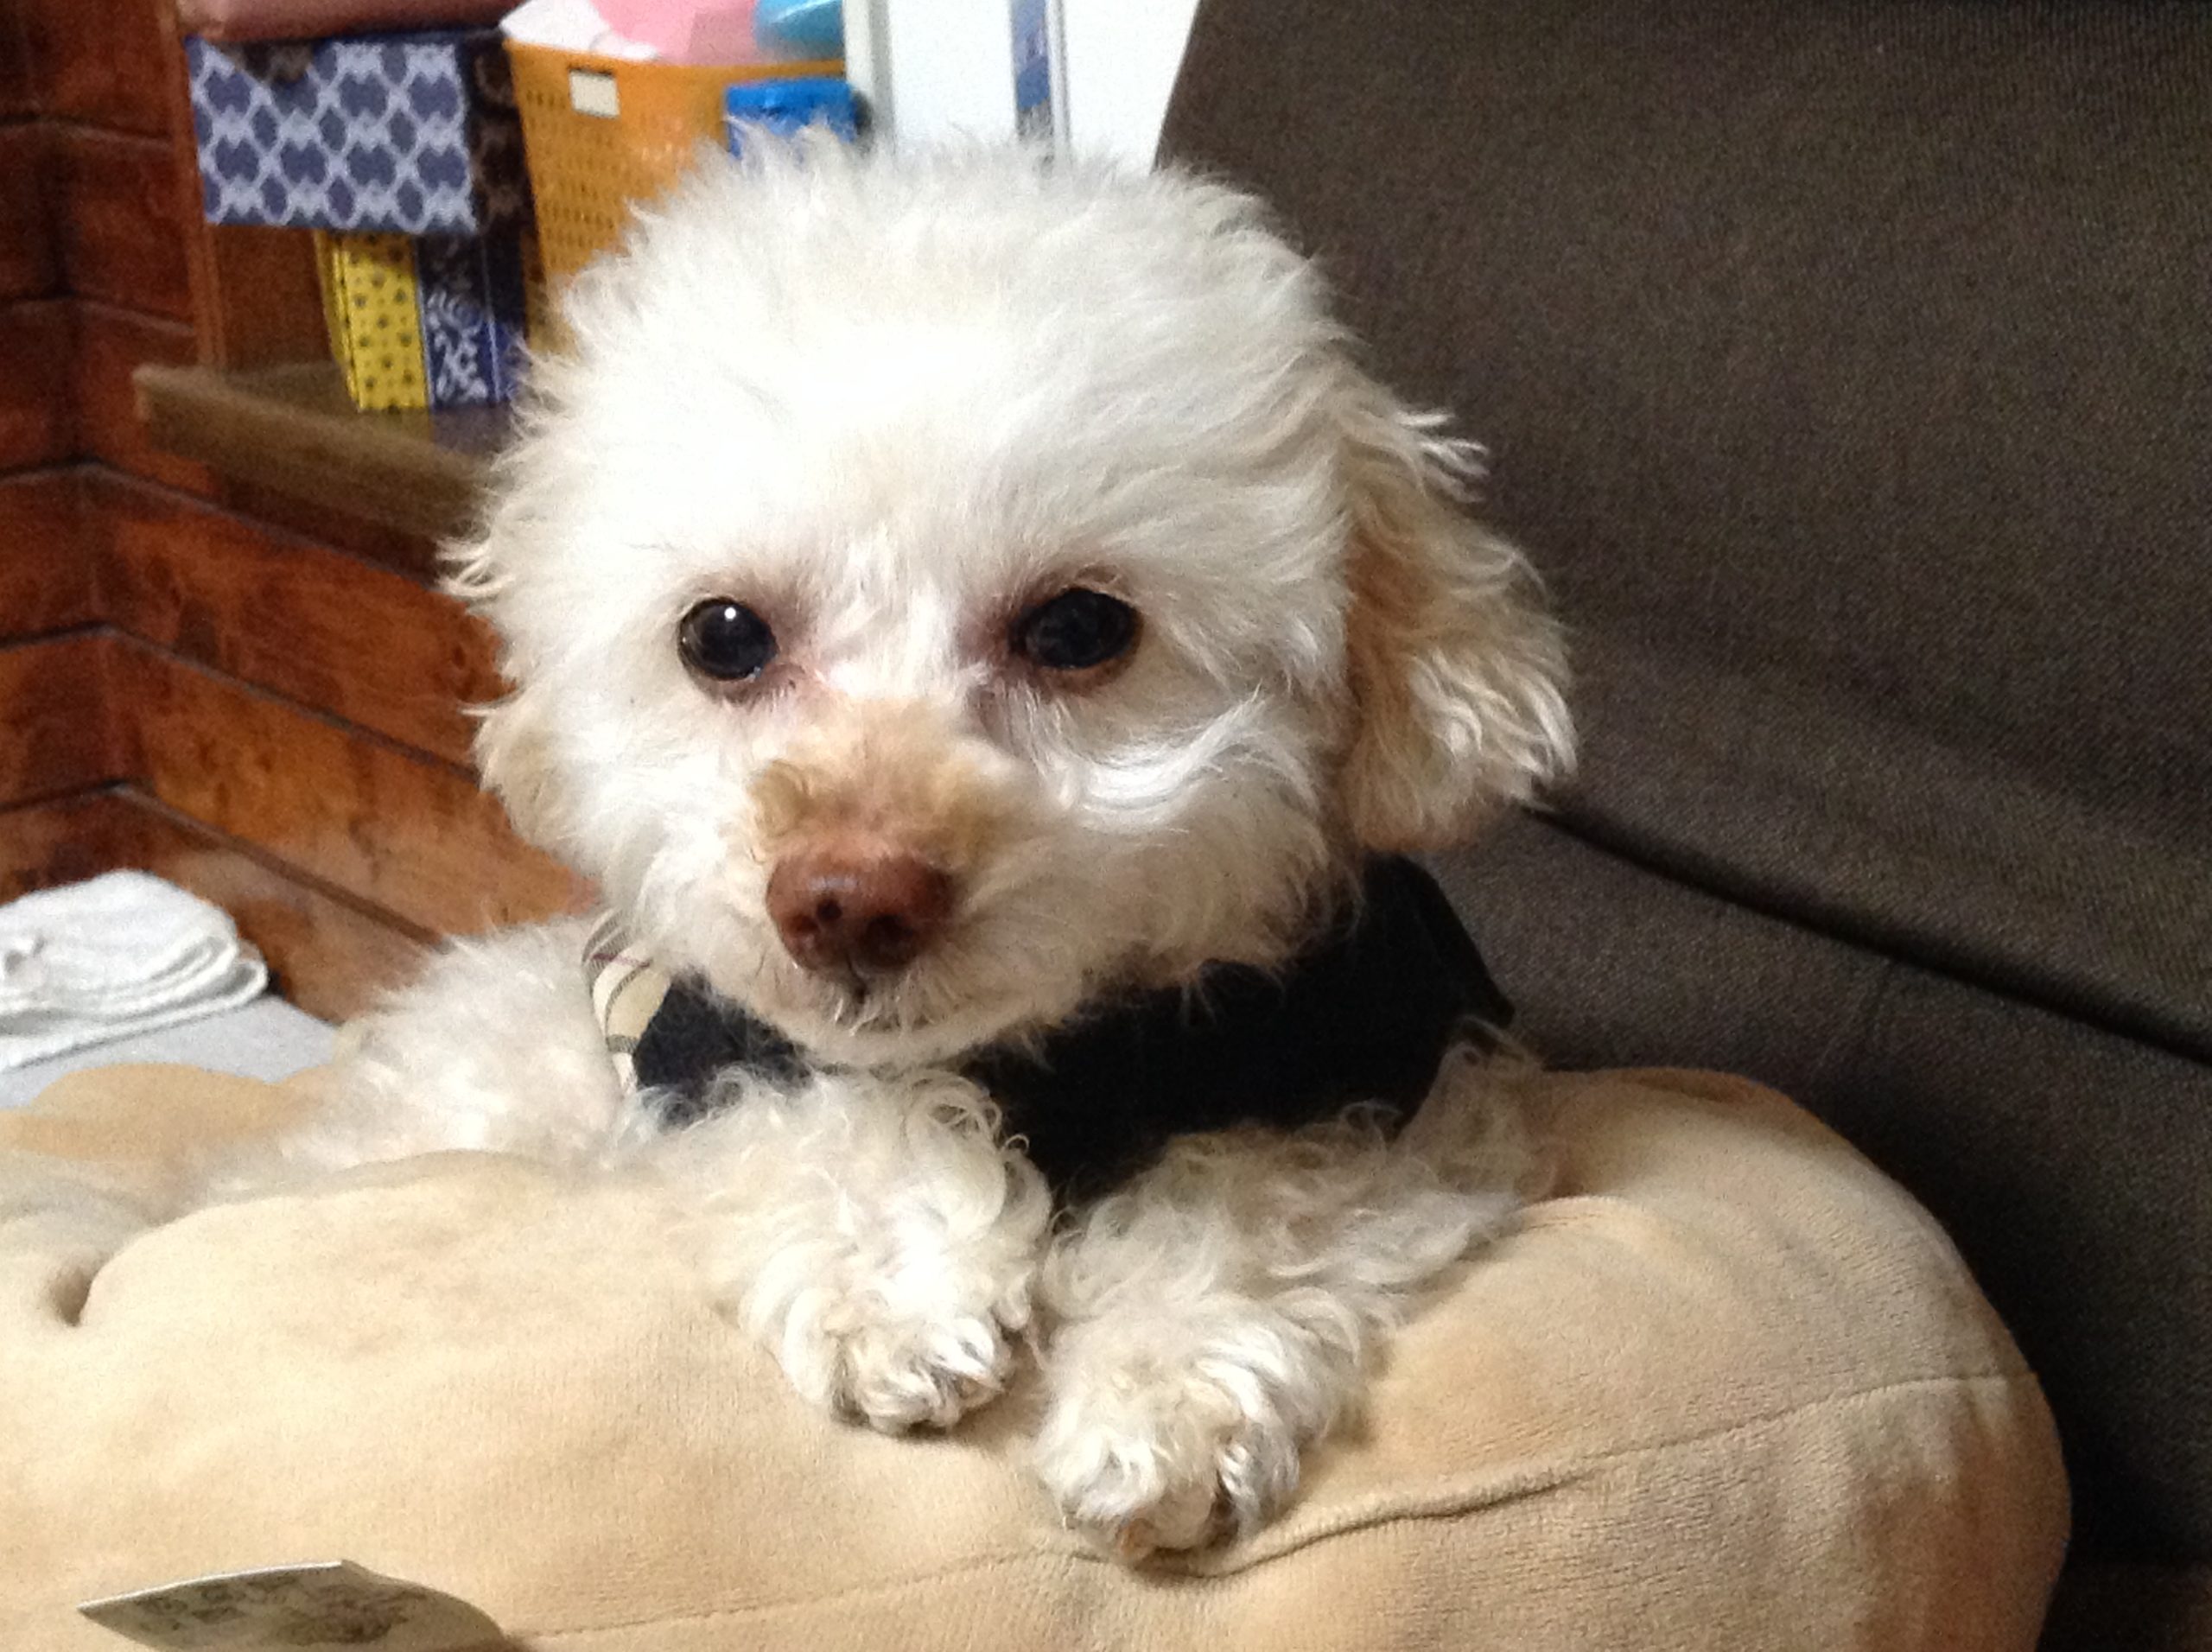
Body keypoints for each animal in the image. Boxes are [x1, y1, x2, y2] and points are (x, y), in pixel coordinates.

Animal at [262, 138, 1573, 1559]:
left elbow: (1260, 1195)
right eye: (723, 636)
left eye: (1078, 630)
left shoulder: (1397, 1069)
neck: (1053, 1062)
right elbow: (810, 1114)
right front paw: (901, 1287)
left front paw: (1155, 1397)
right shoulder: (699, 1057)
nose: (847, 901)